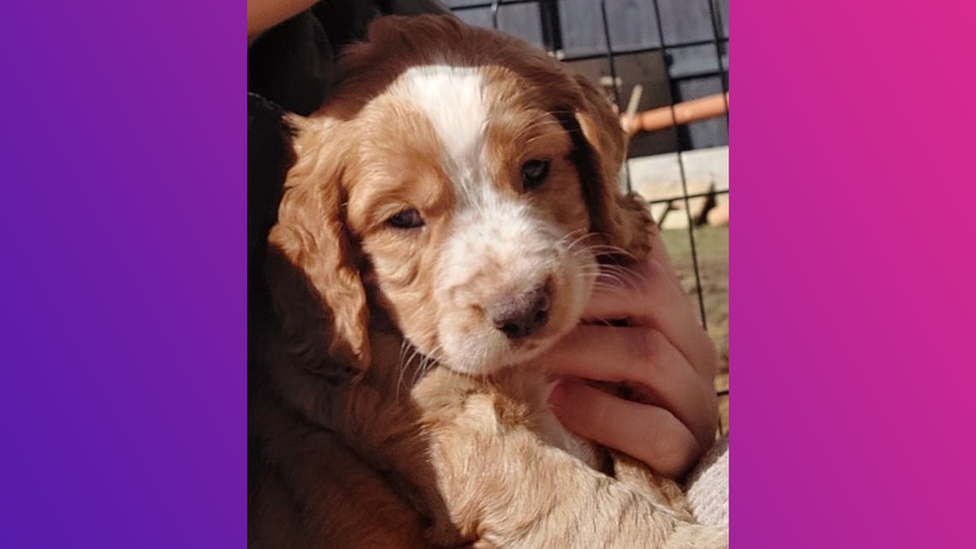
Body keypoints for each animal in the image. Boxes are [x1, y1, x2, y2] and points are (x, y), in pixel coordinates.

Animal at [248, 13, 728, 548]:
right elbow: (594, 508)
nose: (524, 310)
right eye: (402, 219)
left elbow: (638, 464)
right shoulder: (447, 431)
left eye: (535, 169)